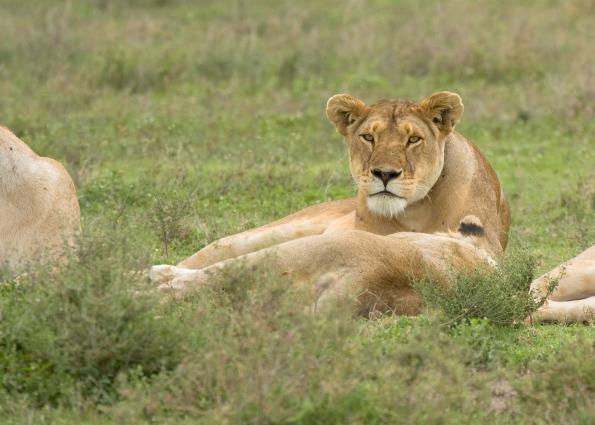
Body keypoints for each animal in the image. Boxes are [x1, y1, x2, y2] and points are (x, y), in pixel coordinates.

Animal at [151, 90, 510, 312]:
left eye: (413, 140)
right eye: (368, 137)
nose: (384, 173)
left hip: (300, 250)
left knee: (210, 277)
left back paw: (153, 281)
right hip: (276, 232)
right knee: (211, 253)